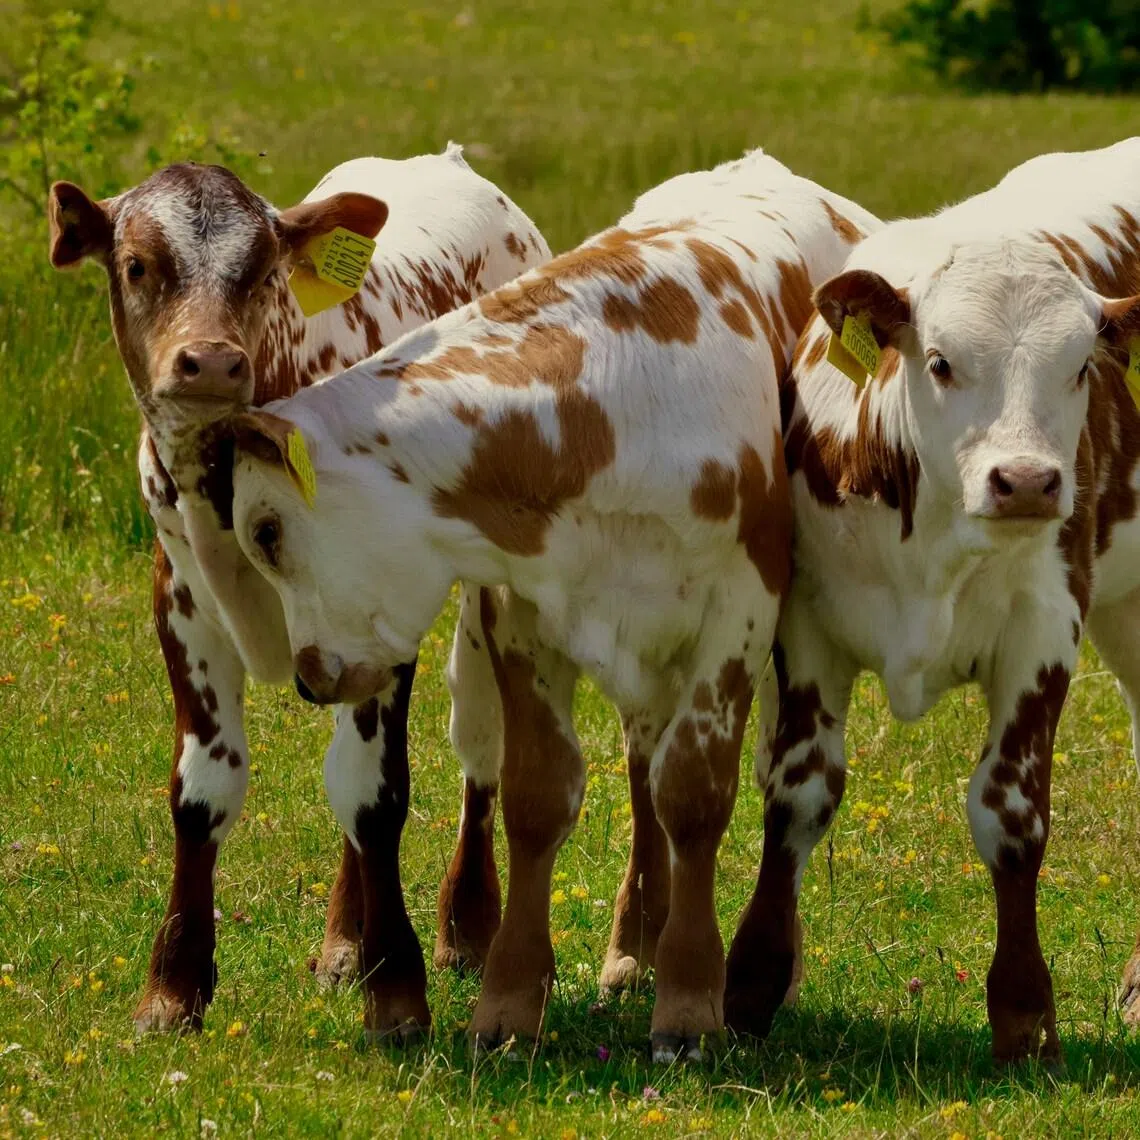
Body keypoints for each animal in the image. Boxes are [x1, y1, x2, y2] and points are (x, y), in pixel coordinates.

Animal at [46, 144, 551, 1036]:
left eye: (260, 271)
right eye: (138, 264)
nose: (211, 360)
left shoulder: (379, 614)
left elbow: (374, 793)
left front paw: (397, 988)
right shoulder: (182, 603)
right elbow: (202, 790)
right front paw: (173, 988)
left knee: (481, 736)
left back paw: (466, 922)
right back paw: (344, 943)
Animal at [201, 149, 878, 1057]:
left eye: (266, 531)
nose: (310, 677)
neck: (606, 411)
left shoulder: (738, 618)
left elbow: (696, 798)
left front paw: (691, 1001)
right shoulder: (518, 616)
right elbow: (537, 798)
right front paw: (510, 1001)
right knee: (640, 765)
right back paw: (635, 941)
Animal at [722, 137, 1140, 1066]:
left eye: (1081, 367)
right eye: (943, 362)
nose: (1028, 481)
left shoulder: (1044, 629)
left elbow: (1010, 812)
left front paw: (1023, 1014)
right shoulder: (805, 625)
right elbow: (799, 791)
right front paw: (752, 984)